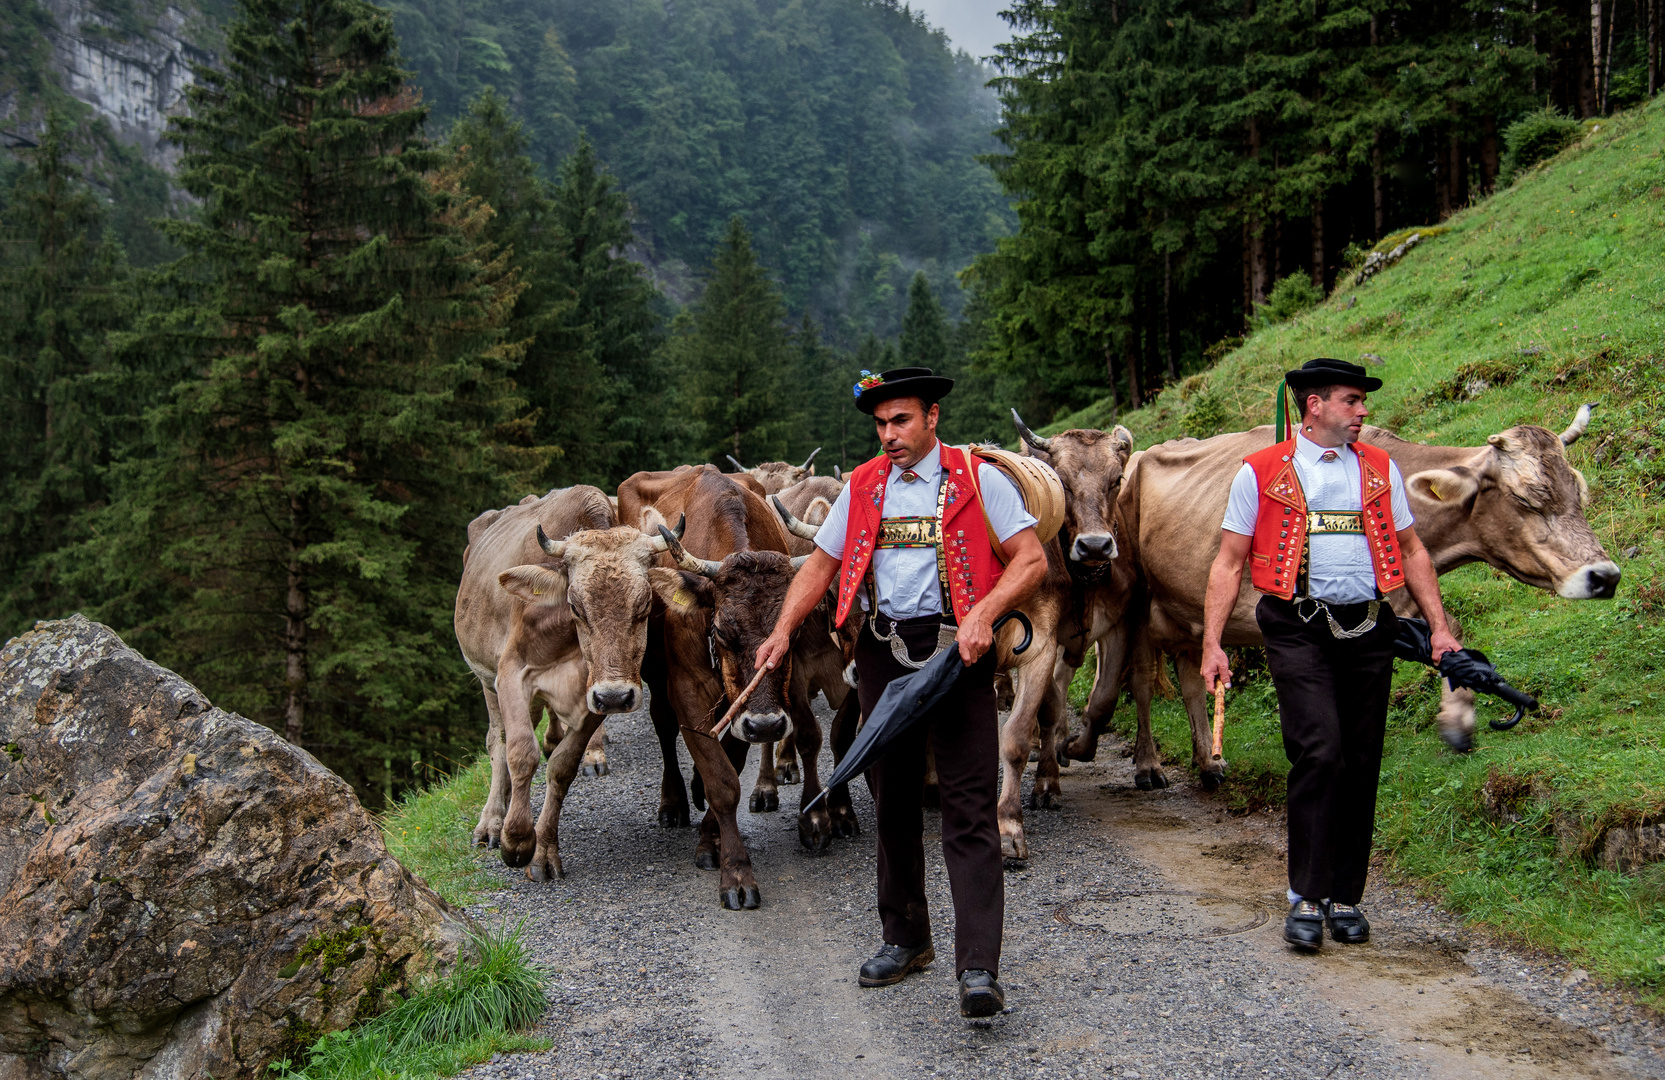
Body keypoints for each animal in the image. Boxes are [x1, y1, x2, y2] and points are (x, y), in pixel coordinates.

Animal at [1112, 404, 1618, 782]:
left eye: (1579, 493)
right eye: (1527, 499)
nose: (1605, 575)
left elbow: (1445, 631)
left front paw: (1458, 713)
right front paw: (1457, 720)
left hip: (1189, 610)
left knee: (1192, 677)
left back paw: (1209, 762)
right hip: (1133, 602)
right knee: (1141, 682)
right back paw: (1149, 766)